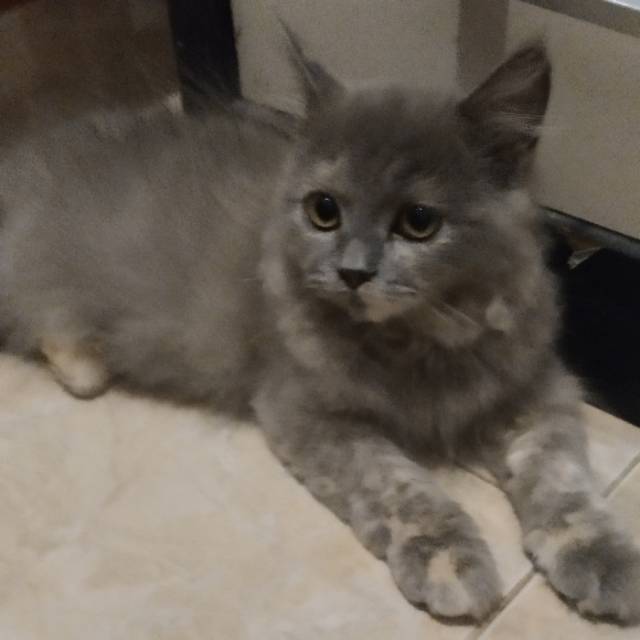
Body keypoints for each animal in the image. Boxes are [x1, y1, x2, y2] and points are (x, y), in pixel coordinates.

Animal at [1, 38, 639, 624]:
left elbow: (562, 483)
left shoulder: (536, 390)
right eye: (324, 210)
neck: (418, 340)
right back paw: (87, 365)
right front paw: (449, 562)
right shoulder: (308, 411)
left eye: (419, 221)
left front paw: (605, 560)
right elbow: (404, 488)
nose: (353, 273)